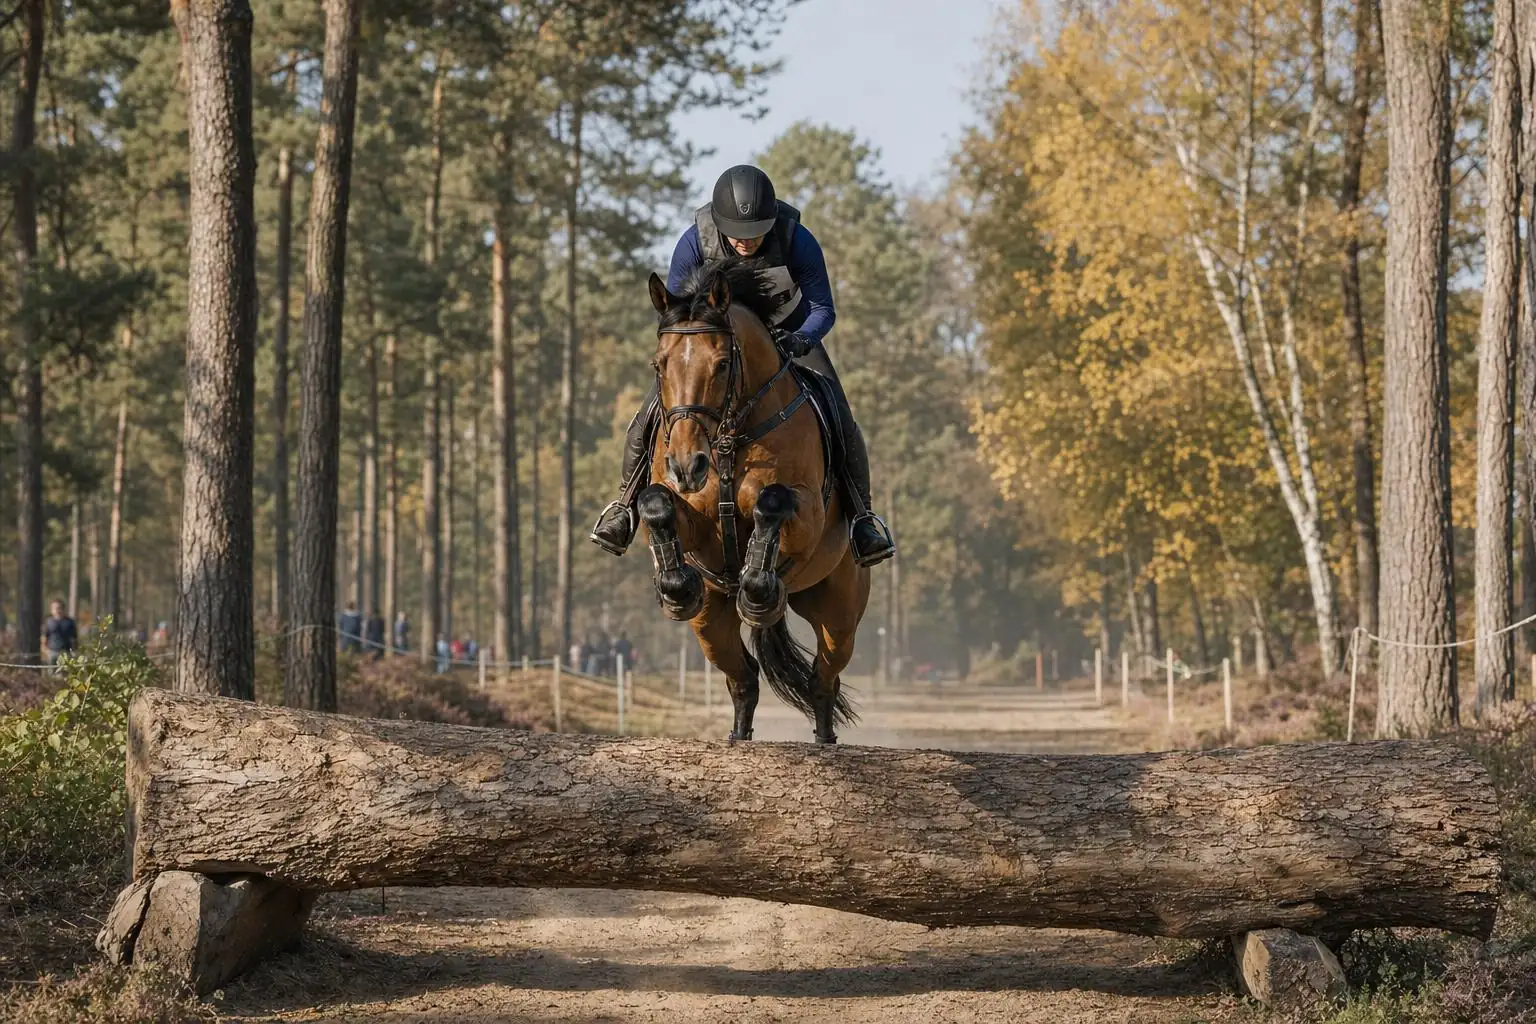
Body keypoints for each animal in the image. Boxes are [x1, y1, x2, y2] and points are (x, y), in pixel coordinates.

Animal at [637, 260, 869, 744]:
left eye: (722, 364)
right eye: (659, 364)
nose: (686, 465)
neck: (729, 436)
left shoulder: (808, 514)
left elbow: (773, 503)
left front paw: (758, 587)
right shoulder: (695, 521)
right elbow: (656, 504)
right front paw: (676, 587)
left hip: (839, 610)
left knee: (824, 679)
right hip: (711, 622)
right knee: (743, 679)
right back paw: (738, 737)